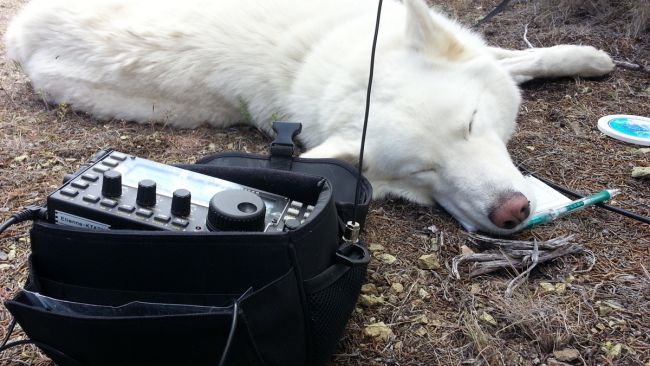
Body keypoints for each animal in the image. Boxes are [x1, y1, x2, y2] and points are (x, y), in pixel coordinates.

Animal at [3, 0, 612, 234]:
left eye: (471, 123)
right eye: (423, 173)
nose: (512, 212)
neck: (336, 50)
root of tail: (21, 25)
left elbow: (518, 59)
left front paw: (587, 58)